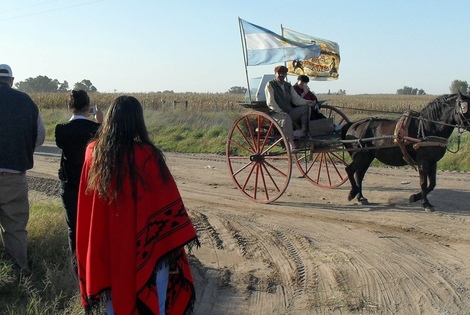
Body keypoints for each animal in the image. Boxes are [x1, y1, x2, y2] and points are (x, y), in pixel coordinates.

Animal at [342, 91, 470, 212]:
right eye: (465, 108)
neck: (428, 127)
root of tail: (353, 124)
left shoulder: (433, 162)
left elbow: (432, 184)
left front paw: (415, 197)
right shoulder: (423, 162)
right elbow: (423, 183)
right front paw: (425, 203)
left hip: (367, 157)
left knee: (359, 175)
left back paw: (361, 197)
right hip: (361, 156)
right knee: (350, 170)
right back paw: (353, 192)